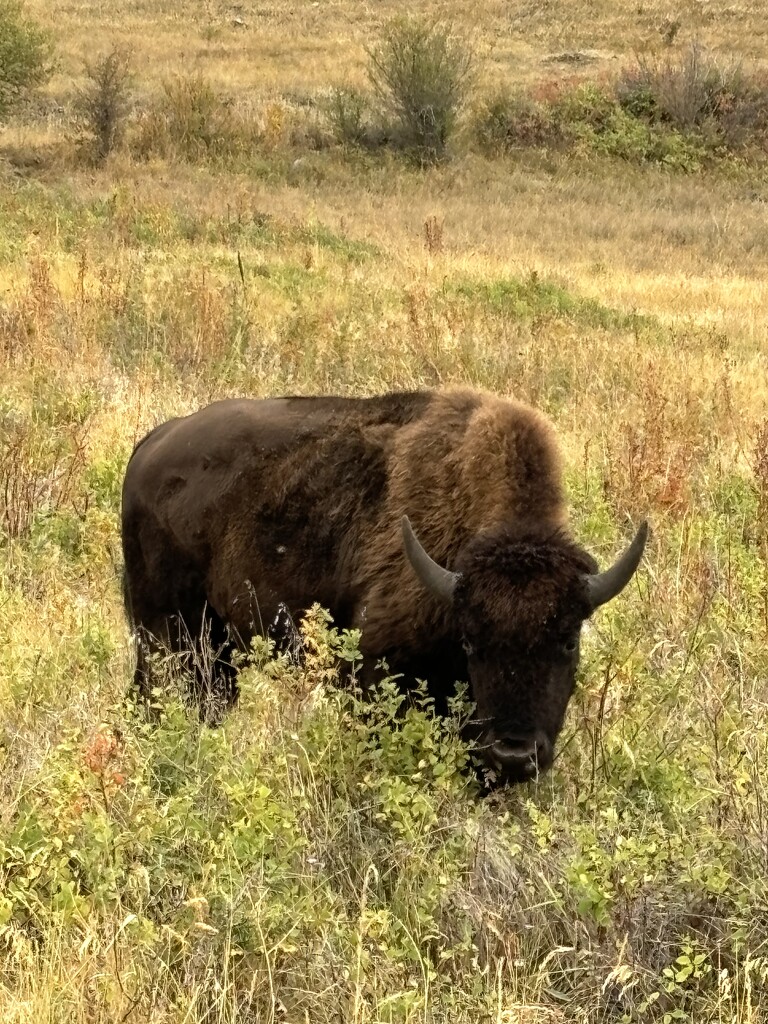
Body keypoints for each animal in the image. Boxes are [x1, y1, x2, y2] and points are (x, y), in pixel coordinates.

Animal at [121, 389, 651, 782]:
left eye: (567, 641)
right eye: (472, 642)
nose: (515, 756)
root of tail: (151, 445)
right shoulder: (374, 668)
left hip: (217, 647)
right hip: (168, 636)